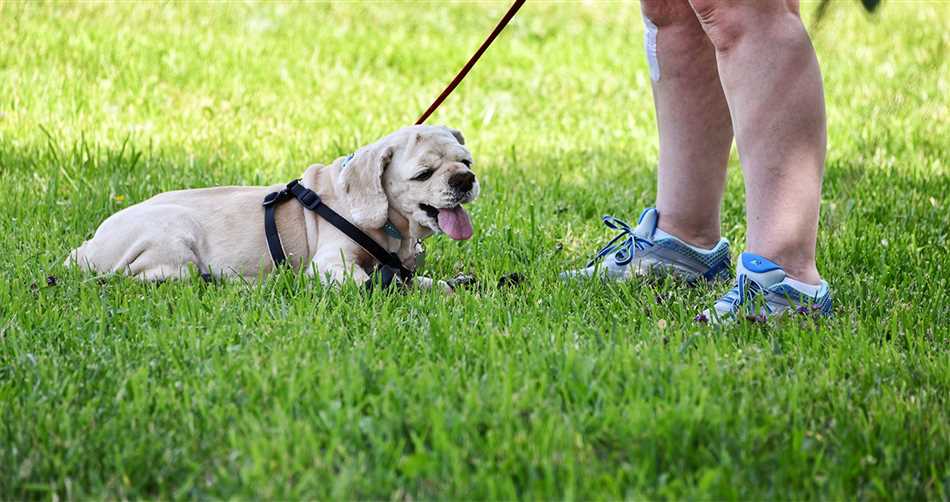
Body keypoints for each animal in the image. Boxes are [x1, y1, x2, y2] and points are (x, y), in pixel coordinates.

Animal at [66, 125, 480, 290]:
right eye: (423, 174)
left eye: (467, 162)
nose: (464, 180)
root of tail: (85, 249)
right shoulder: (332, 263)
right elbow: (385, 283)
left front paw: (454, 283)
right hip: (173, 236)